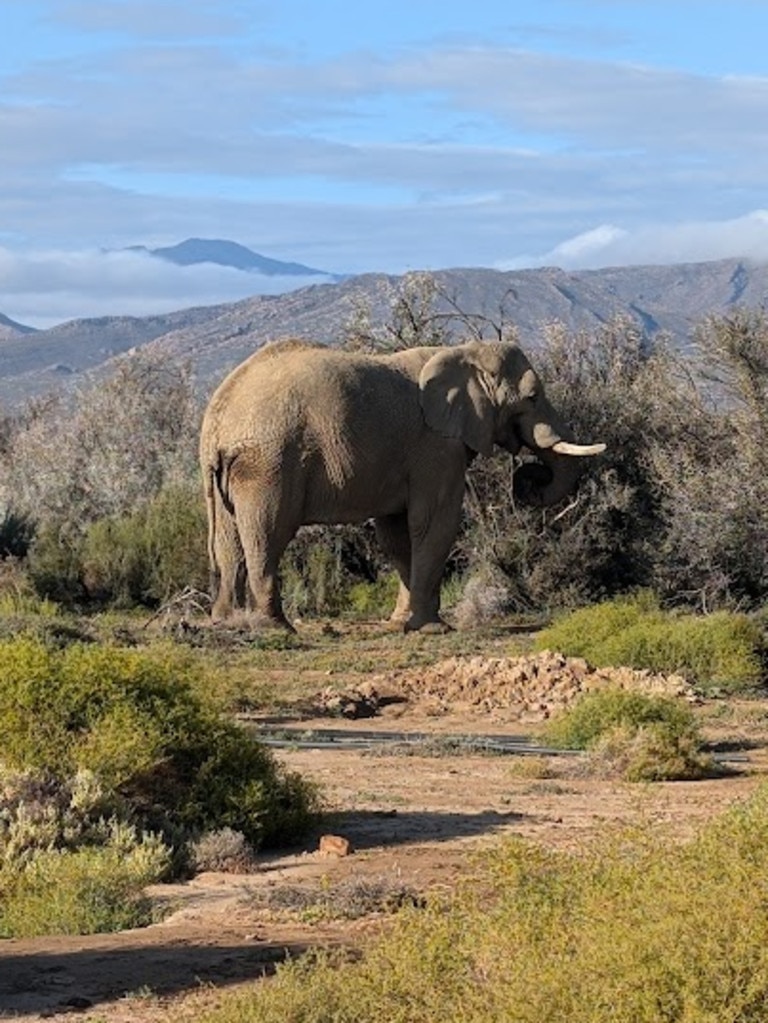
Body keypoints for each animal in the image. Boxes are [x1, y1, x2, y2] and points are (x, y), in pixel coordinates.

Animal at [199, 339, 605, 630]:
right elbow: (436, 522)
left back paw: (226, 622)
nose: (525, 481)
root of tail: (217, 418)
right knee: (267, 535)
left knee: (228, 543)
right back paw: (276, 627)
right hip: (268, 463)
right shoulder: (436, 447)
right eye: (533, 397)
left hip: (229, 474)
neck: (464, 350)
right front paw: (433, 629)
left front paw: (401, 622)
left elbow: (396, 534)